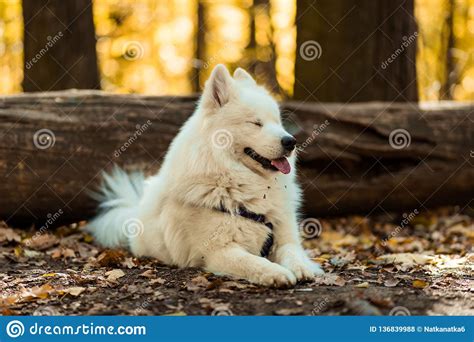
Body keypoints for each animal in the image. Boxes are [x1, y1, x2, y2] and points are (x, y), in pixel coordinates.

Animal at [87, 64, 324, 286]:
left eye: (278, 122)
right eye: (256, 123)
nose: (291, 141)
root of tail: (135, 209)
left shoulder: (283, 236)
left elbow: (292, 252)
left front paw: (302, 268)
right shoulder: (217, 252)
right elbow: (253, 261)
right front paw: (277, 273)